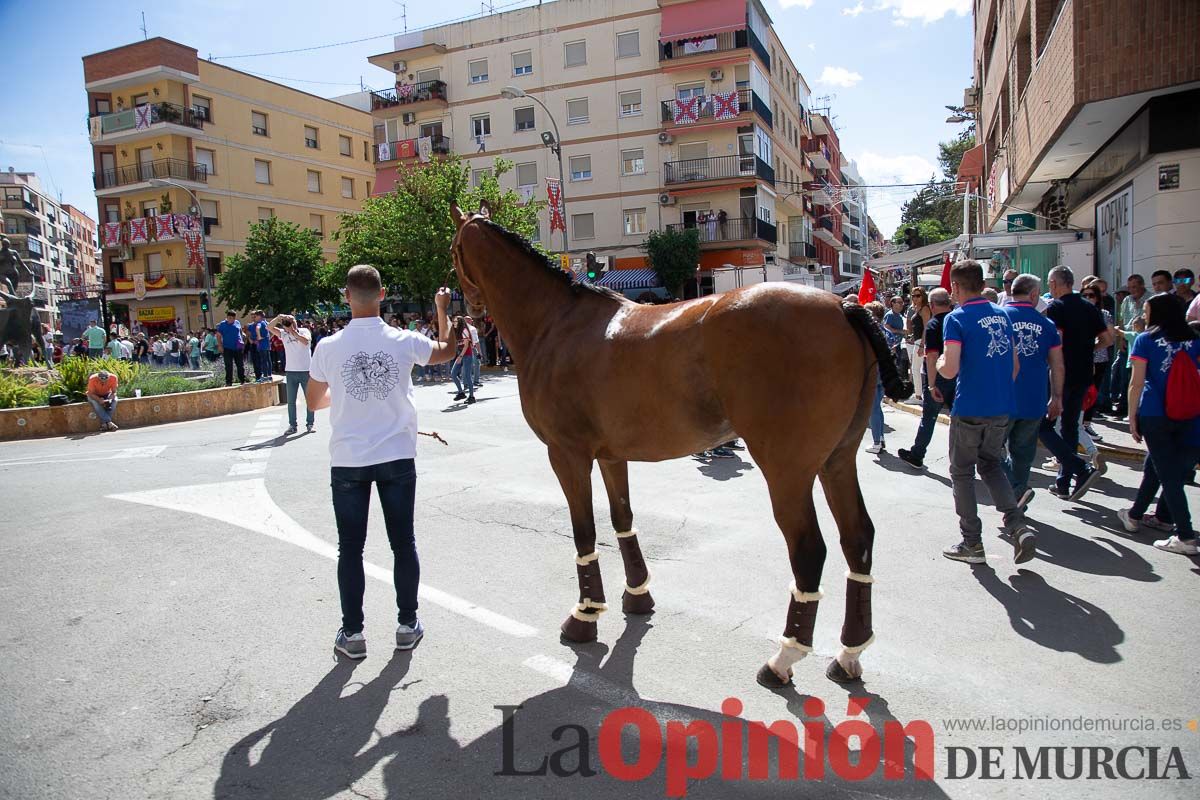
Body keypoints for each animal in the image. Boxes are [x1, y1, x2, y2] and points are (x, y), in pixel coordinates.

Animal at [451, 203, 907, 686]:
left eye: (455, 250)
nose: (469, 315)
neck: (556, 322)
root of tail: (842, 306)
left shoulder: (567, 455)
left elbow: (584, 531)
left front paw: (585, 614)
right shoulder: (610, 456)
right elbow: (622, 519)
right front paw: (637, 594)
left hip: (788, 470)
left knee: (809, 550)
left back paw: (784, 657)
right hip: (837, 460)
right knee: (857, 538)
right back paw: (849, 652)